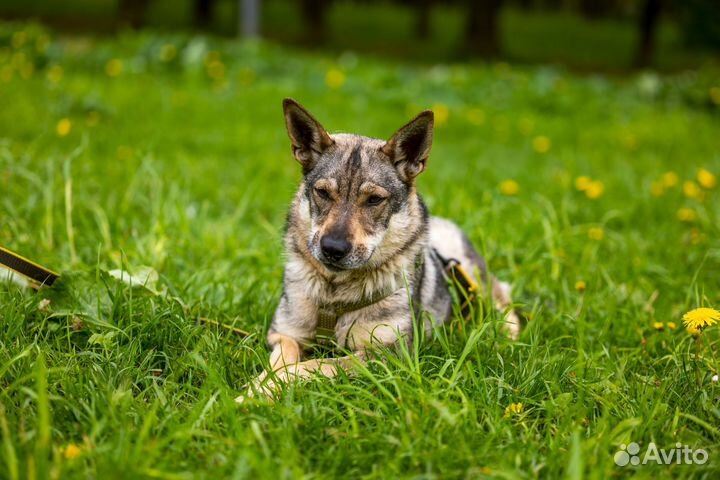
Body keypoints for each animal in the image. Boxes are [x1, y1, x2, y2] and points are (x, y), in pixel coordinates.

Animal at [236, 98, 524, 402]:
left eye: (374, 200)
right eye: (322, 193)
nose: (333, 248)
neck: (334, 291)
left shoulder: (386, 356)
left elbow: (310, 365)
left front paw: (263, 391)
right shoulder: (284, 334)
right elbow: (282, 361)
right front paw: (257, 390)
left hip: (473, 274)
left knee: (503, 295)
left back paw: (507, 336)